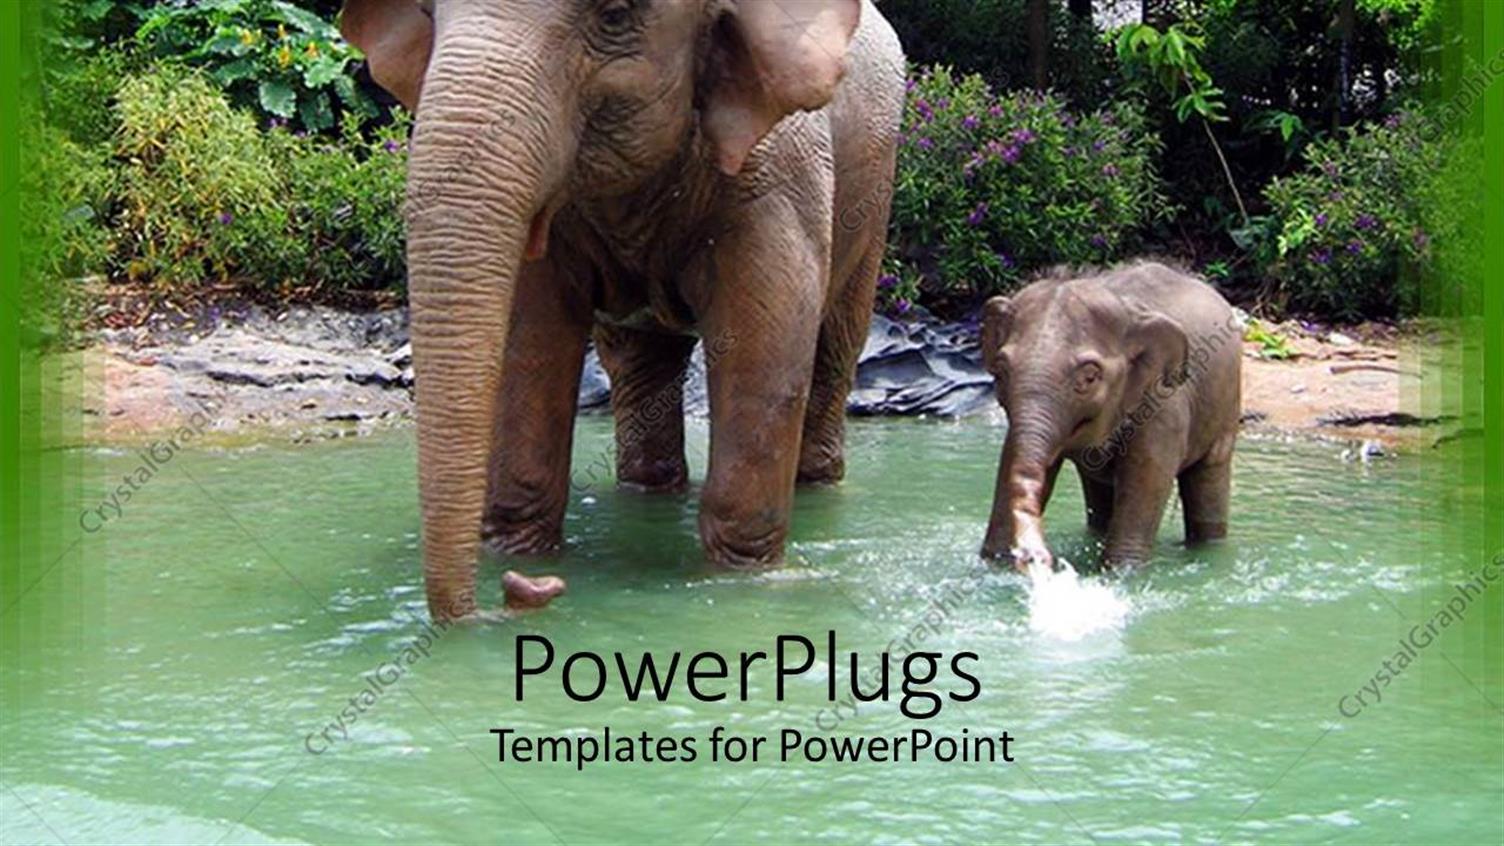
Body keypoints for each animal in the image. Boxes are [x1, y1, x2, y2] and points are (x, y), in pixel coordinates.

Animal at [340, 0, 906, 620]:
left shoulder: (780, 170)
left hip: (875, 190)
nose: (522, 591)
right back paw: (649, 490)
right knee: (641, 364)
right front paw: (518, 553)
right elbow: (529, 334)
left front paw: (741, 582)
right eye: (427, 12)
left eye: (614, 16)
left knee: (834, 350)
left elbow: (766, 336)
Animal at [978, 262, 1242, 570]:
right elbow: (1011, 458)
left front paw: (1122, 571)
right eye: (1001, 370)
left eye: (1090, 377)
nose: (1038, 557)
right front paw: (996, 562)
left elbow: (1149, 476)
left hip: (1225, 407)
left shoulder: (1164, 405)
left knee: (1209, 475)